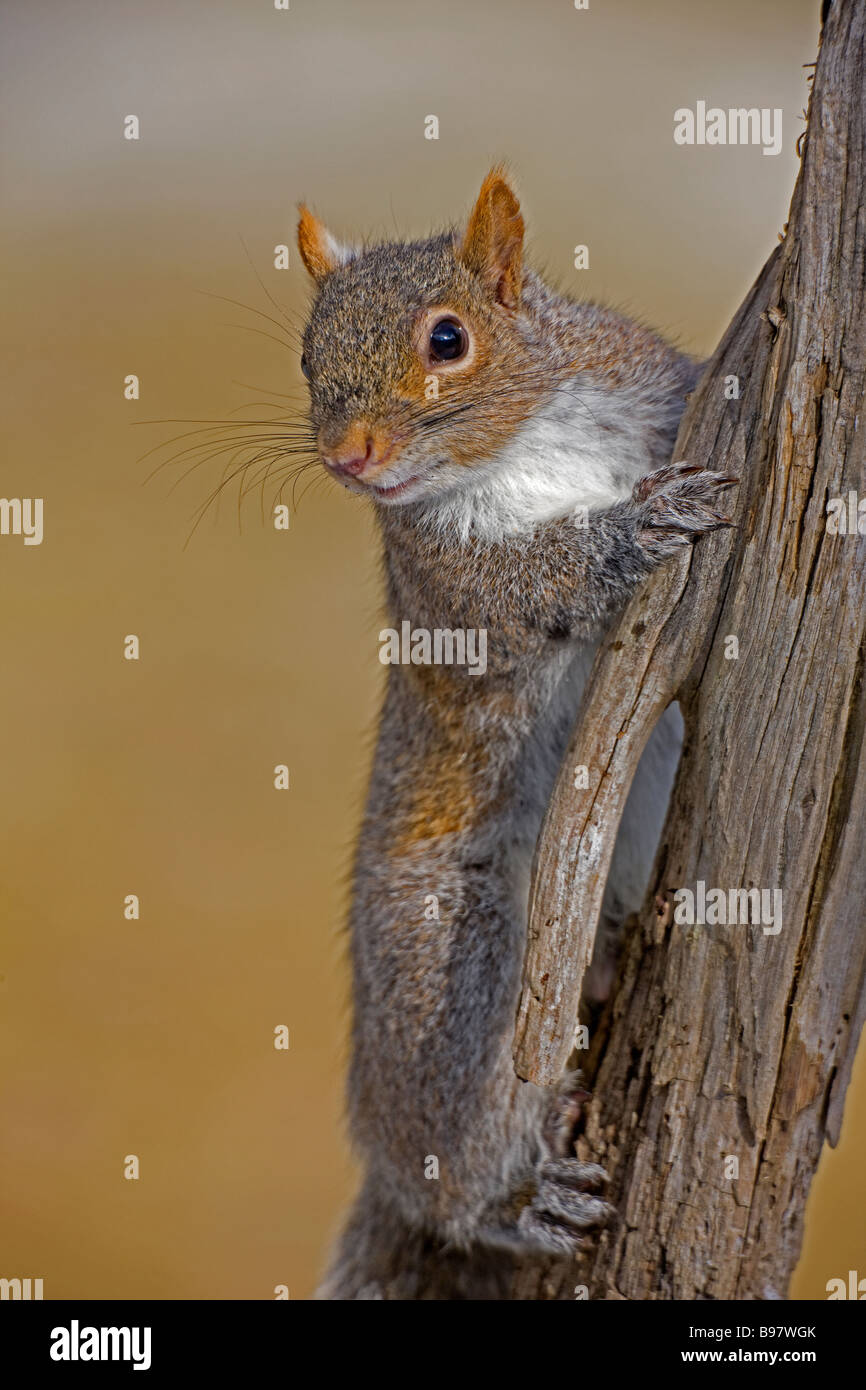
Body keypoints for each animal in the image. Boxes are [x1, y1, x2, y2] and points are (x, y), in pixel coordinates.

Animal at [295, 169, 734, 1299]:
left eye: (448, 339)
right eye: (306, 360)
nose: (348, 457)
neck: (520, 446)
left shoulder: (651, 379)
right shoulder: (449, 584)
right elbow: (535, 585)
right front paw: (630, 530)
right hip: (456, 974)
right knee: (455, 1158)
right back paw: (513, 1202)